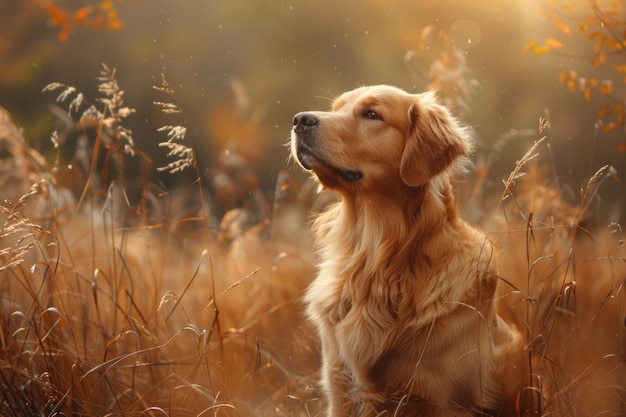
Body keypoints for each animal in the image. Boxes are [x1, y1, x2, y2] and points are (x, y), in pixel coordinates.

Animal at [290, 85, 520, 416]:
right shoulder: (340, 387)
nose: (299, 120)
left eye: (372, 114)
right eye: (336, 108)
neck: (376, 259)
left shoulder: (441, 399)